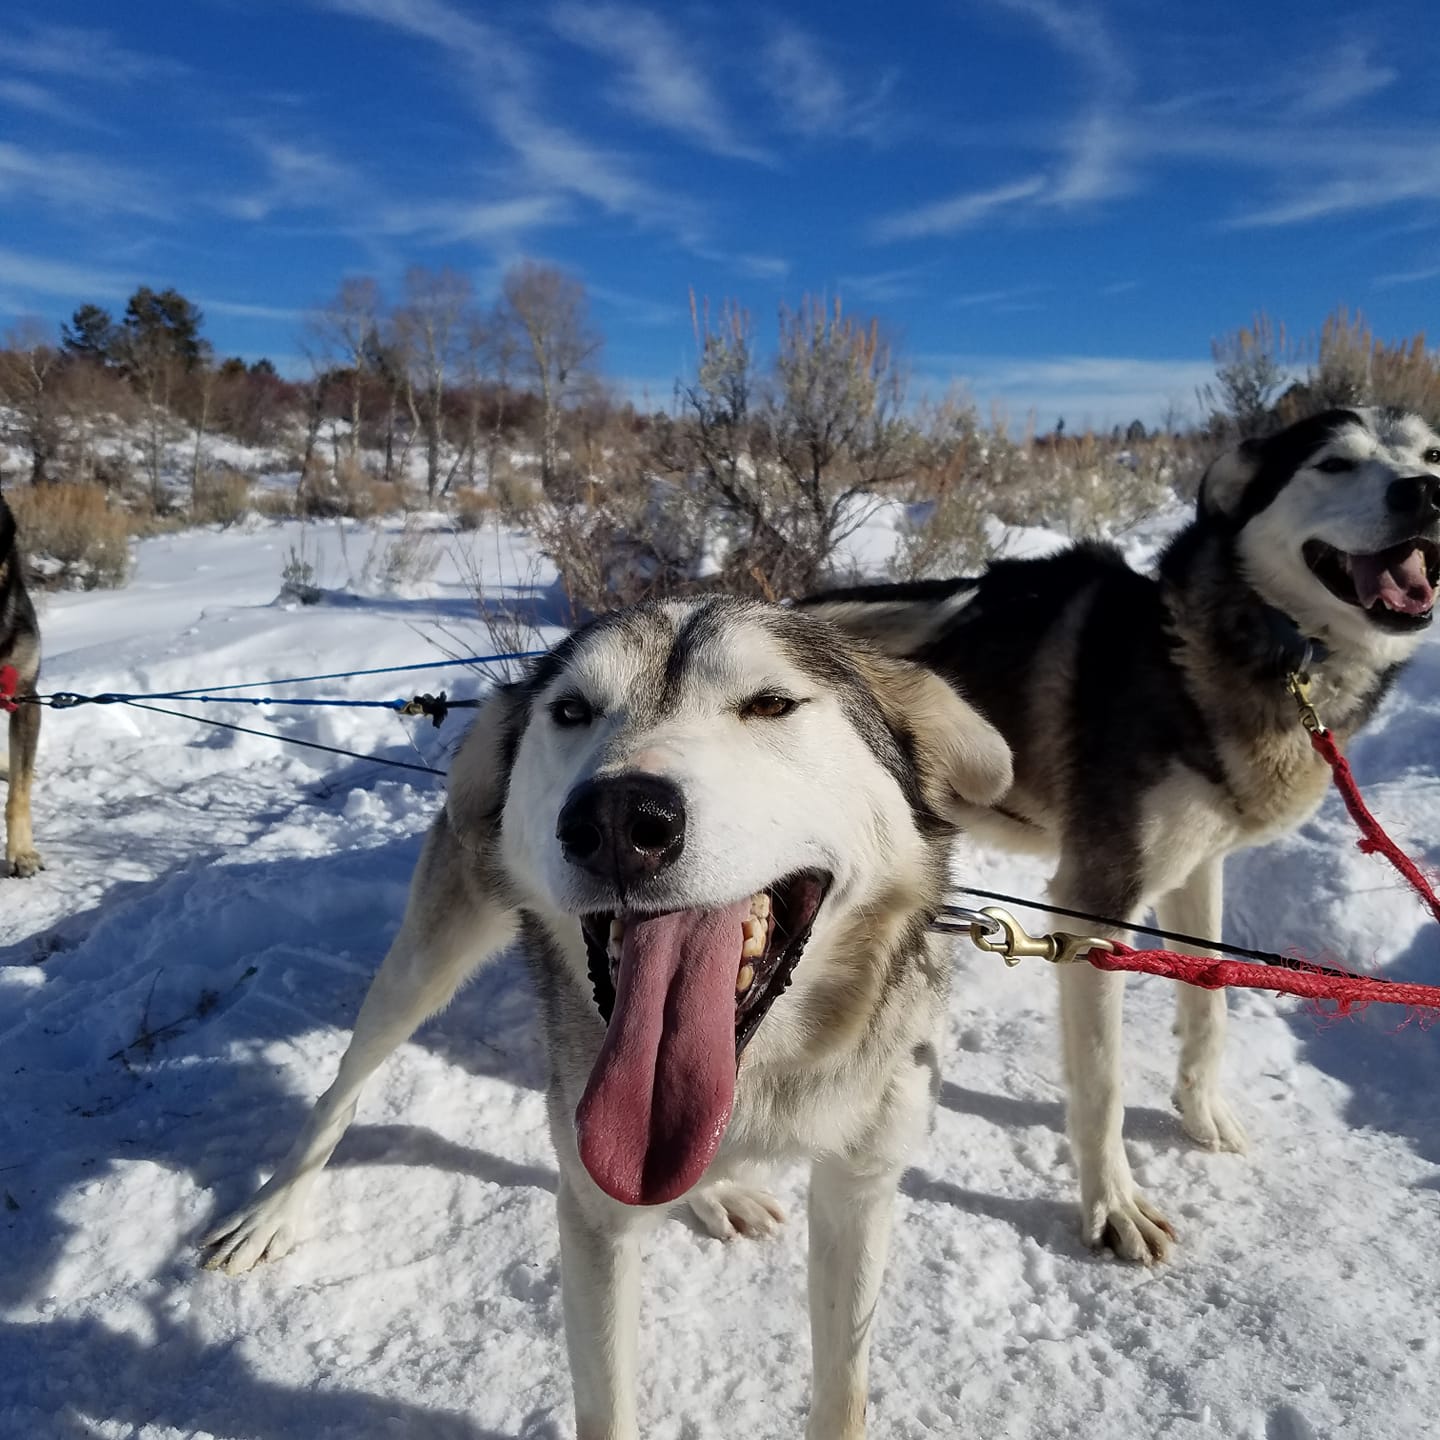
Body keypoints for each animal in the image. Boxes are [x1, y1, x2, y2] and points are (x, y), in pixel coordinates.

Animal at [203, 593, 1013, 1428]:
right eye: (571, 710)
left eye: (771, 704)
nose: (621, 821)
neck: (764, 1075)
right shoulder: (596, 1217)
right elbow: (608, 1408)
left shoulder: (861, 1190)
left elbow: (843, 1392)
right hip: (423, 965)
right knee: (343, 1086)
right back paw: (274, 1210)